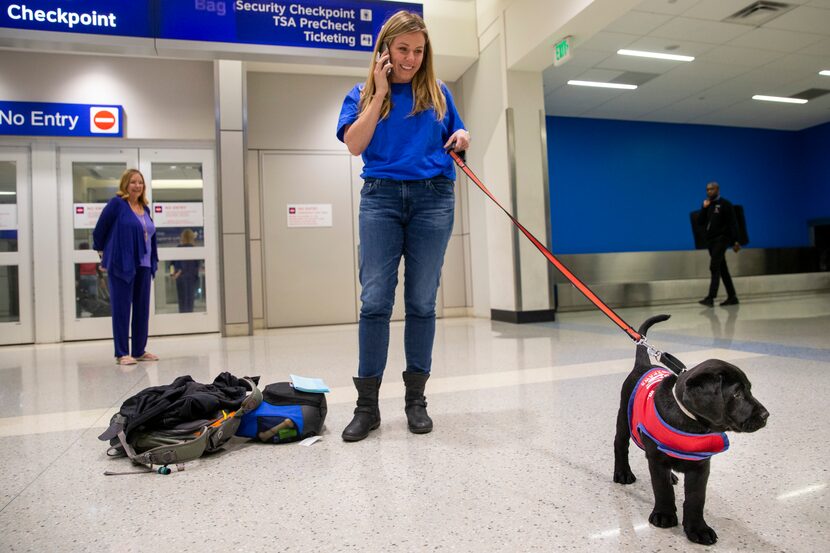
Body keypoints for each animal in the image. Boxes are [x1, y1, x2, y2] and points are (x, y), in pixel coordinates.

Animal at [616, 314, 772, 544]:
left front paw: (698, 528)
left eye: (750, 390)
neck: (691, 424)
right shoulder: (658, 459)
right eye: (736, 394)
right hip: (624, 419)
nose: (765, 415)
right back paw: (622, 473)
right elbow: (662, 488)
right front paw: (664, 515)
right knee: (620, 445)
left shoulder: (701, 466)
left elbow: (696, 498)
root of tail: (644, 366)